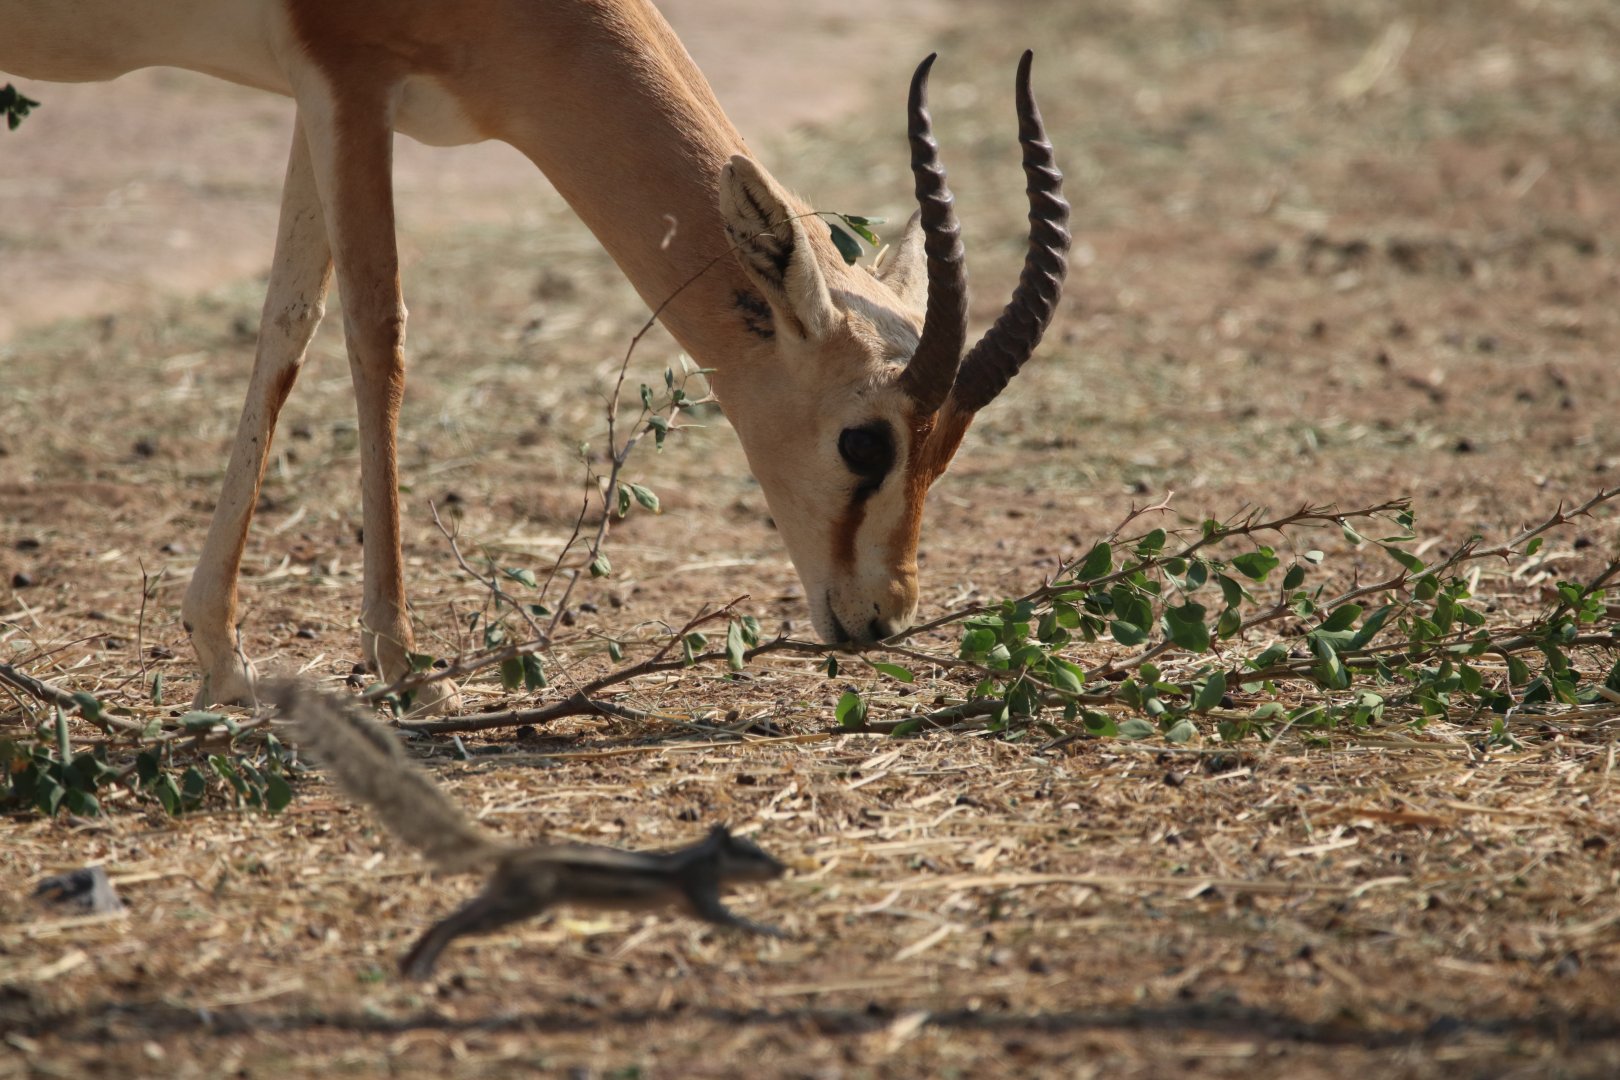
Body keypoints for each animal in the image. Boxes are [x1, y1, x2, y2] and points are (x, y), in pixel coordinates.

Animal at [1, 0, 1069, 715]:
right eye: (864, 442)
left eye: (945, 452)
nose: (881, 615)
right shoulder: (348, 79)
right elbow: (376, 335)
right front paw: (408, 671)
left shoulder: (314, 91)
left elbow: (287, 325)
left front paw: (223, 656)